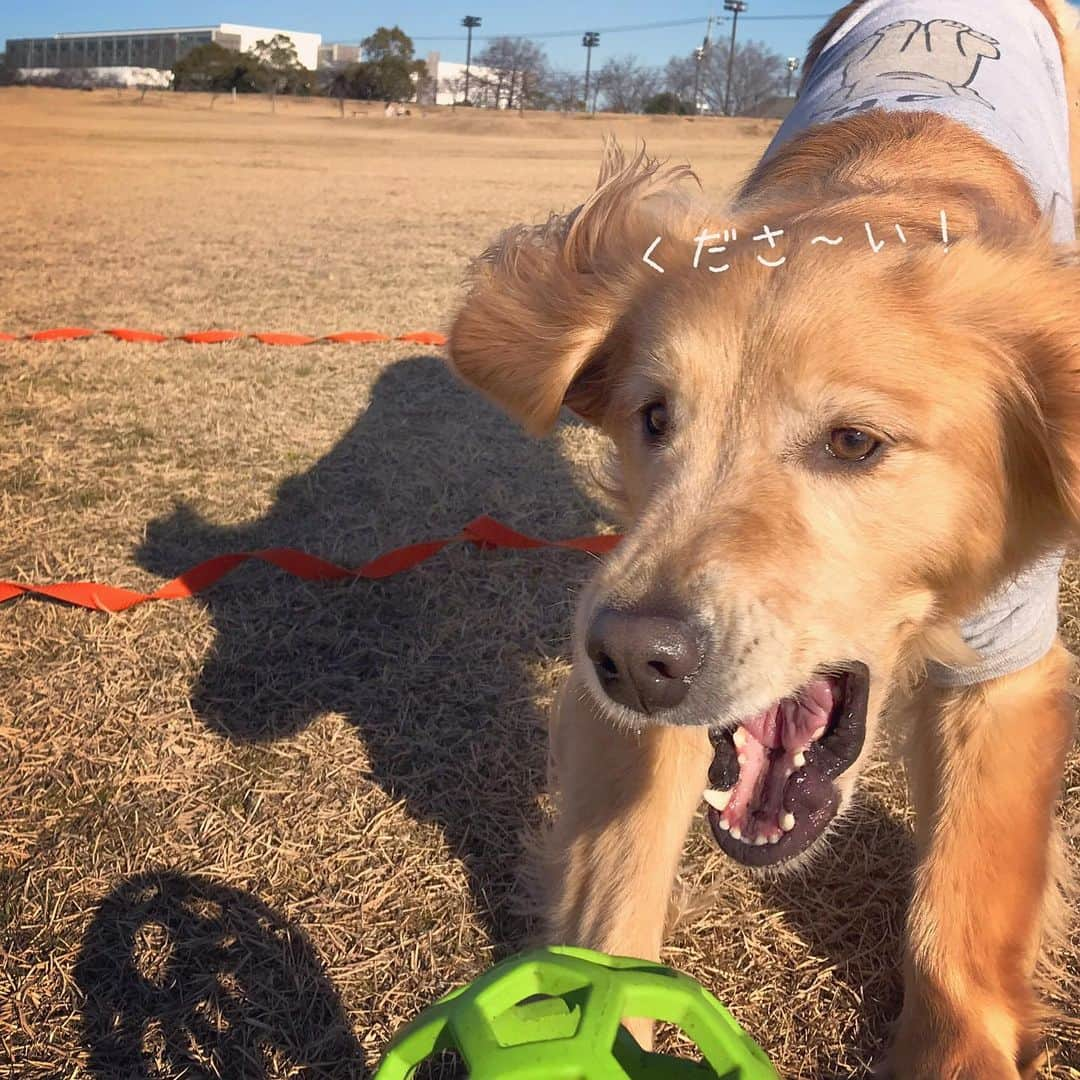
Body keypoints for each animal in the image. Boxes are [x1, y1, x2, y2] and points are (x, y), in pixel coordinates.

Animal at [449, 4, 1080, 1075]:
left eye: (854, 442)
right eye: (655, 419)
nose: (634, 658)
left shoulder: (1005, 664)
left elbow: (962, 903)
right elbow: (618, 889)